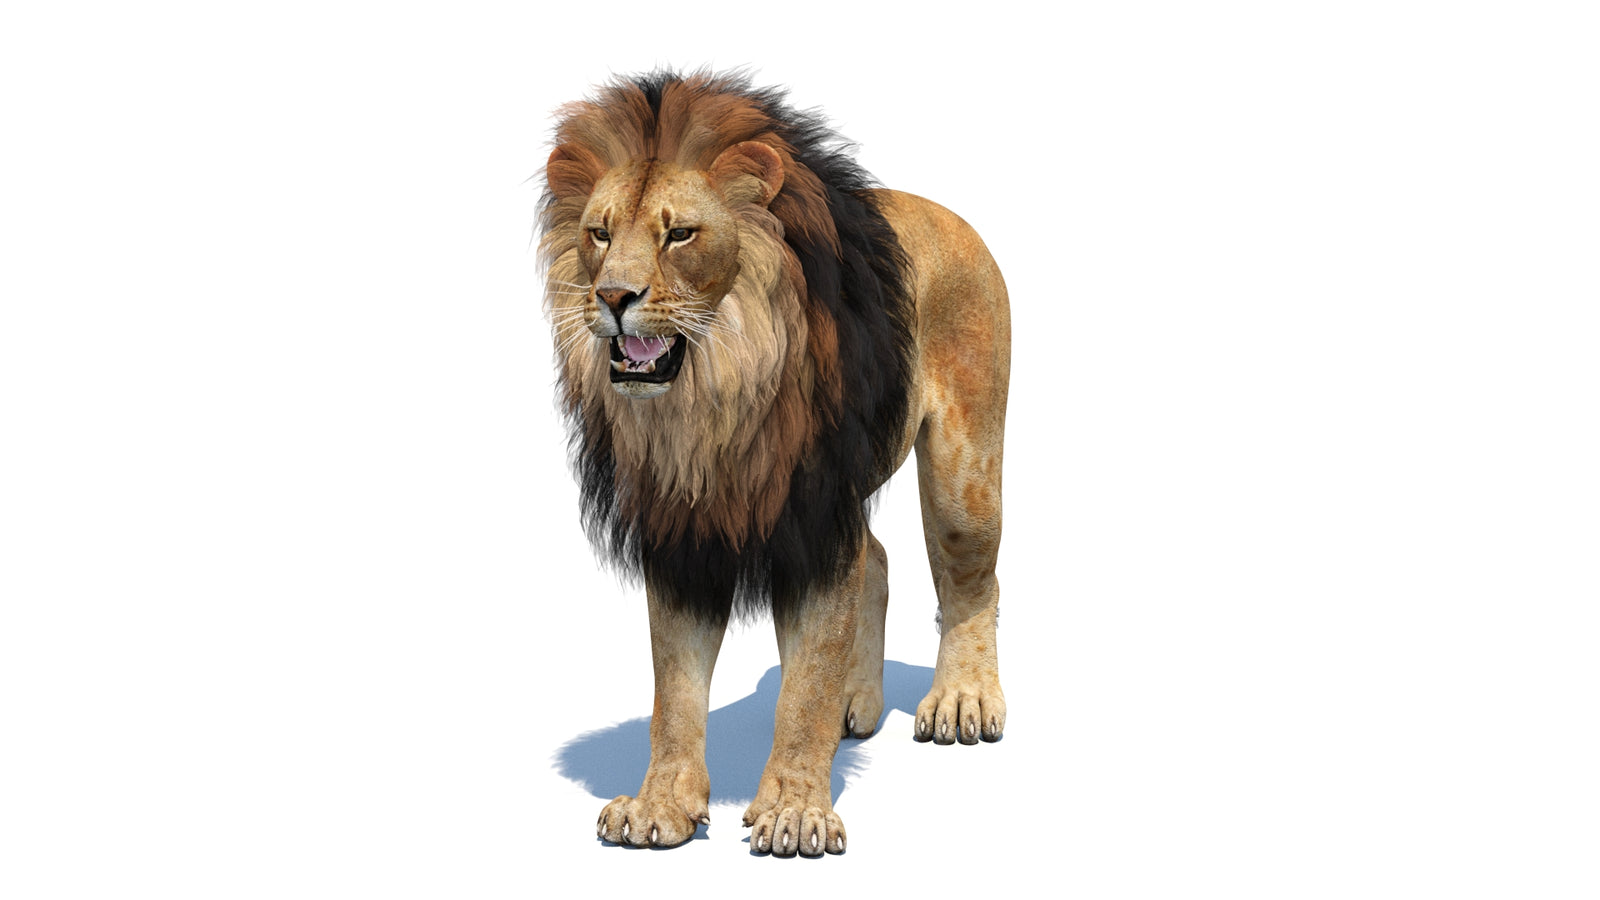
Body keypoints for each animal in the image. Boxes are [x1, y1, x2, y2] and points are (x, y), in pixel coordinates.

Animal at [539, 71, 1010, 857]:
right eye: (600, 233)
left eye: (679, 233)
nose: (611, 297)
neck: (714, 400)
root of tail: (947, 213)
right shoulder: (682, 535)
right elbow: (675, 688)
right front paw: (659, 806)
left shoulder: (815, 522)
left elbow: (806, 688)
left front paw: (795, 810)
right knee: (877, 559)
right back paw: (857, 701)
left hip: (962, 478)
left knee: (974, 582)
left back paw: (962, 700)